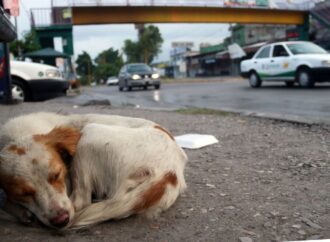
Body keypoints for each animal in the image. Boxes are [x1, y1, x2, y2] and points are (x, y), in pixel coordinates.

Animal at [0, 112, 187, 228]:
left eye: (57, 175)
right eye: (23, 193)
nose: (61, 221)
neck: (18, 134)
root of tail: (169, 170)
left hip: (89, 133)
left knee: (80, 202)